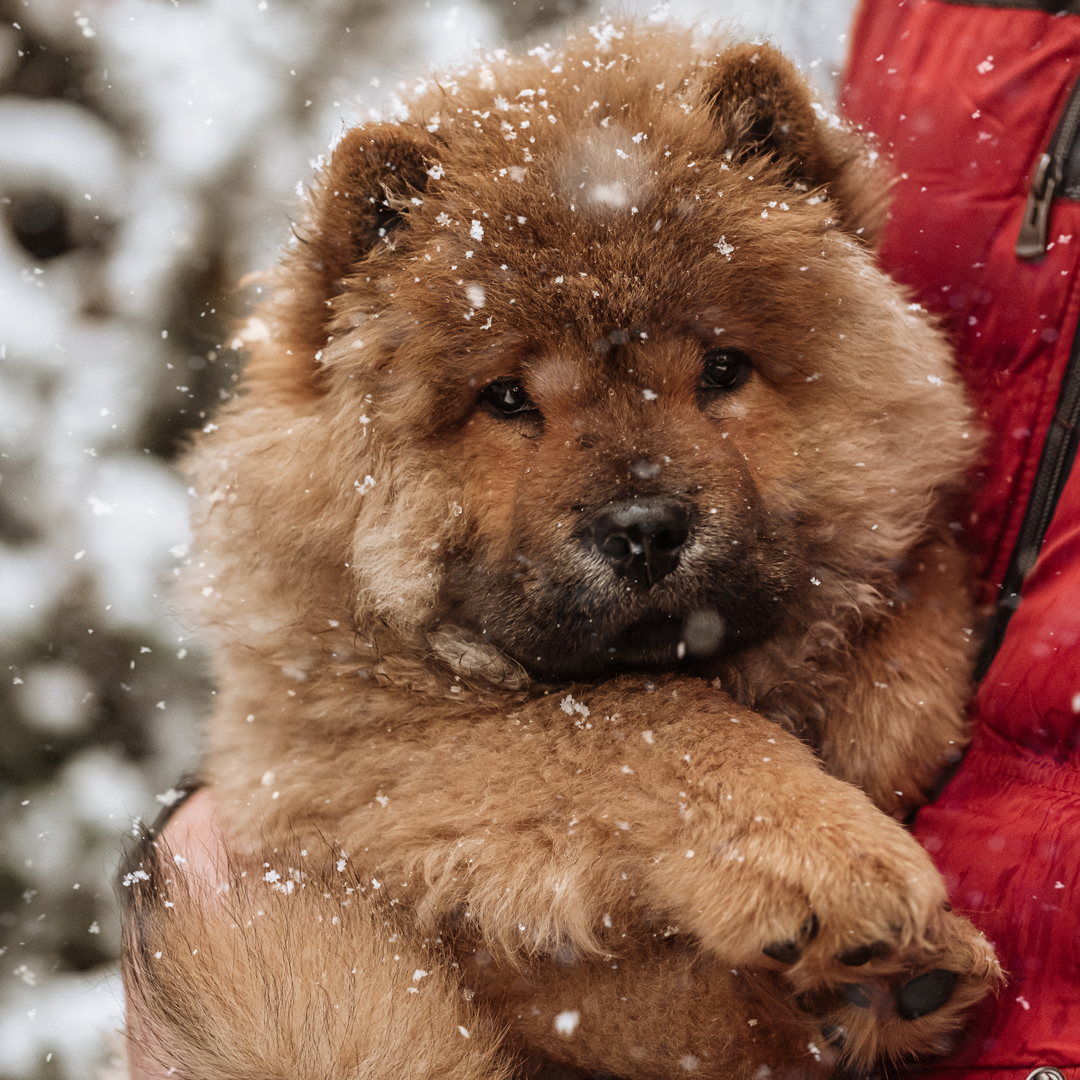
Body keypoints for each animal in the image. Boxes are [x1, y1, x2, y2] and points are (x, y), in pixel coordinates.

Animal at [124, 25, 1002, 1080]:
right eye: (508, 399)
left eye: (722, 369)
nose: (647, 525)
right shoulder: (360, 764)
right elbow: (647, 720)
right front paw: (830, 859)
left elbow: (910, 577)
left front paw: (882, 713)